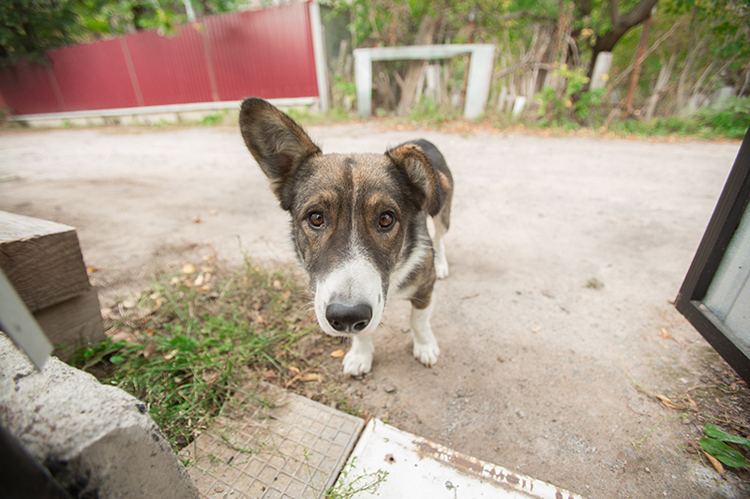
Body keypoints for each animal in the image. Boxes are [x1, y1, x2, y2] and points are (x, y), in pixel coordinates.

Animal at [241, 98, 452, 376]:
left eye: (386, 219)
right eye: (316, 217)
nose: (348, 316)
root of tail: (421, 139)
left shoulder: (425, 286)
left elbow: (419, 320)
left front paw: (425, 346)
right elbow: (364, 333)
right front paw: (361, 354)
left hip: (442, 212)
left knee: (440, 236)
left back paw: (442, 263)